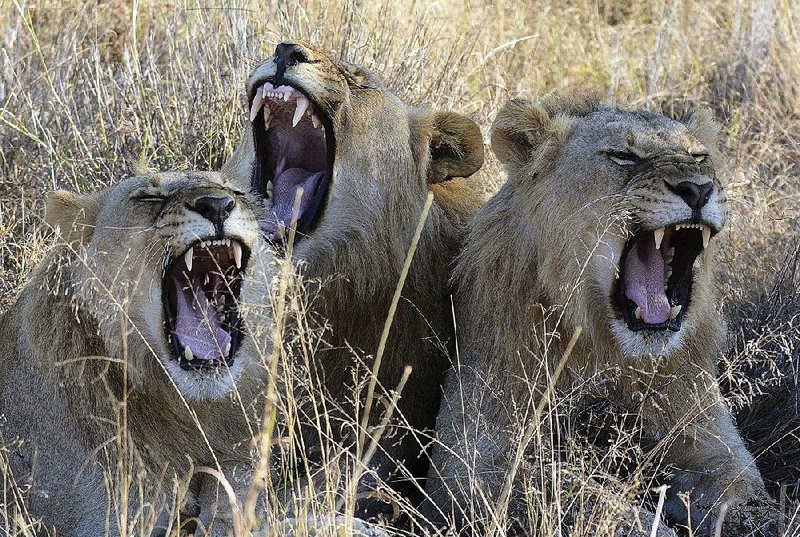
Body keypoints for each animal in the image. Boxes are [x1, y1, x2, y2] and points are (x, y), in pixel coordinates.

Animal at [424, 94, 776, 532]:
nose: (698, 188)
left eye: (700, 156)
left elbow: (747, 498)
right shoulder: (472, 462)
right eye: (623, 156)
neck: (609, 349)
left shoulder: (711, 443)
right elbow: (588, 499)